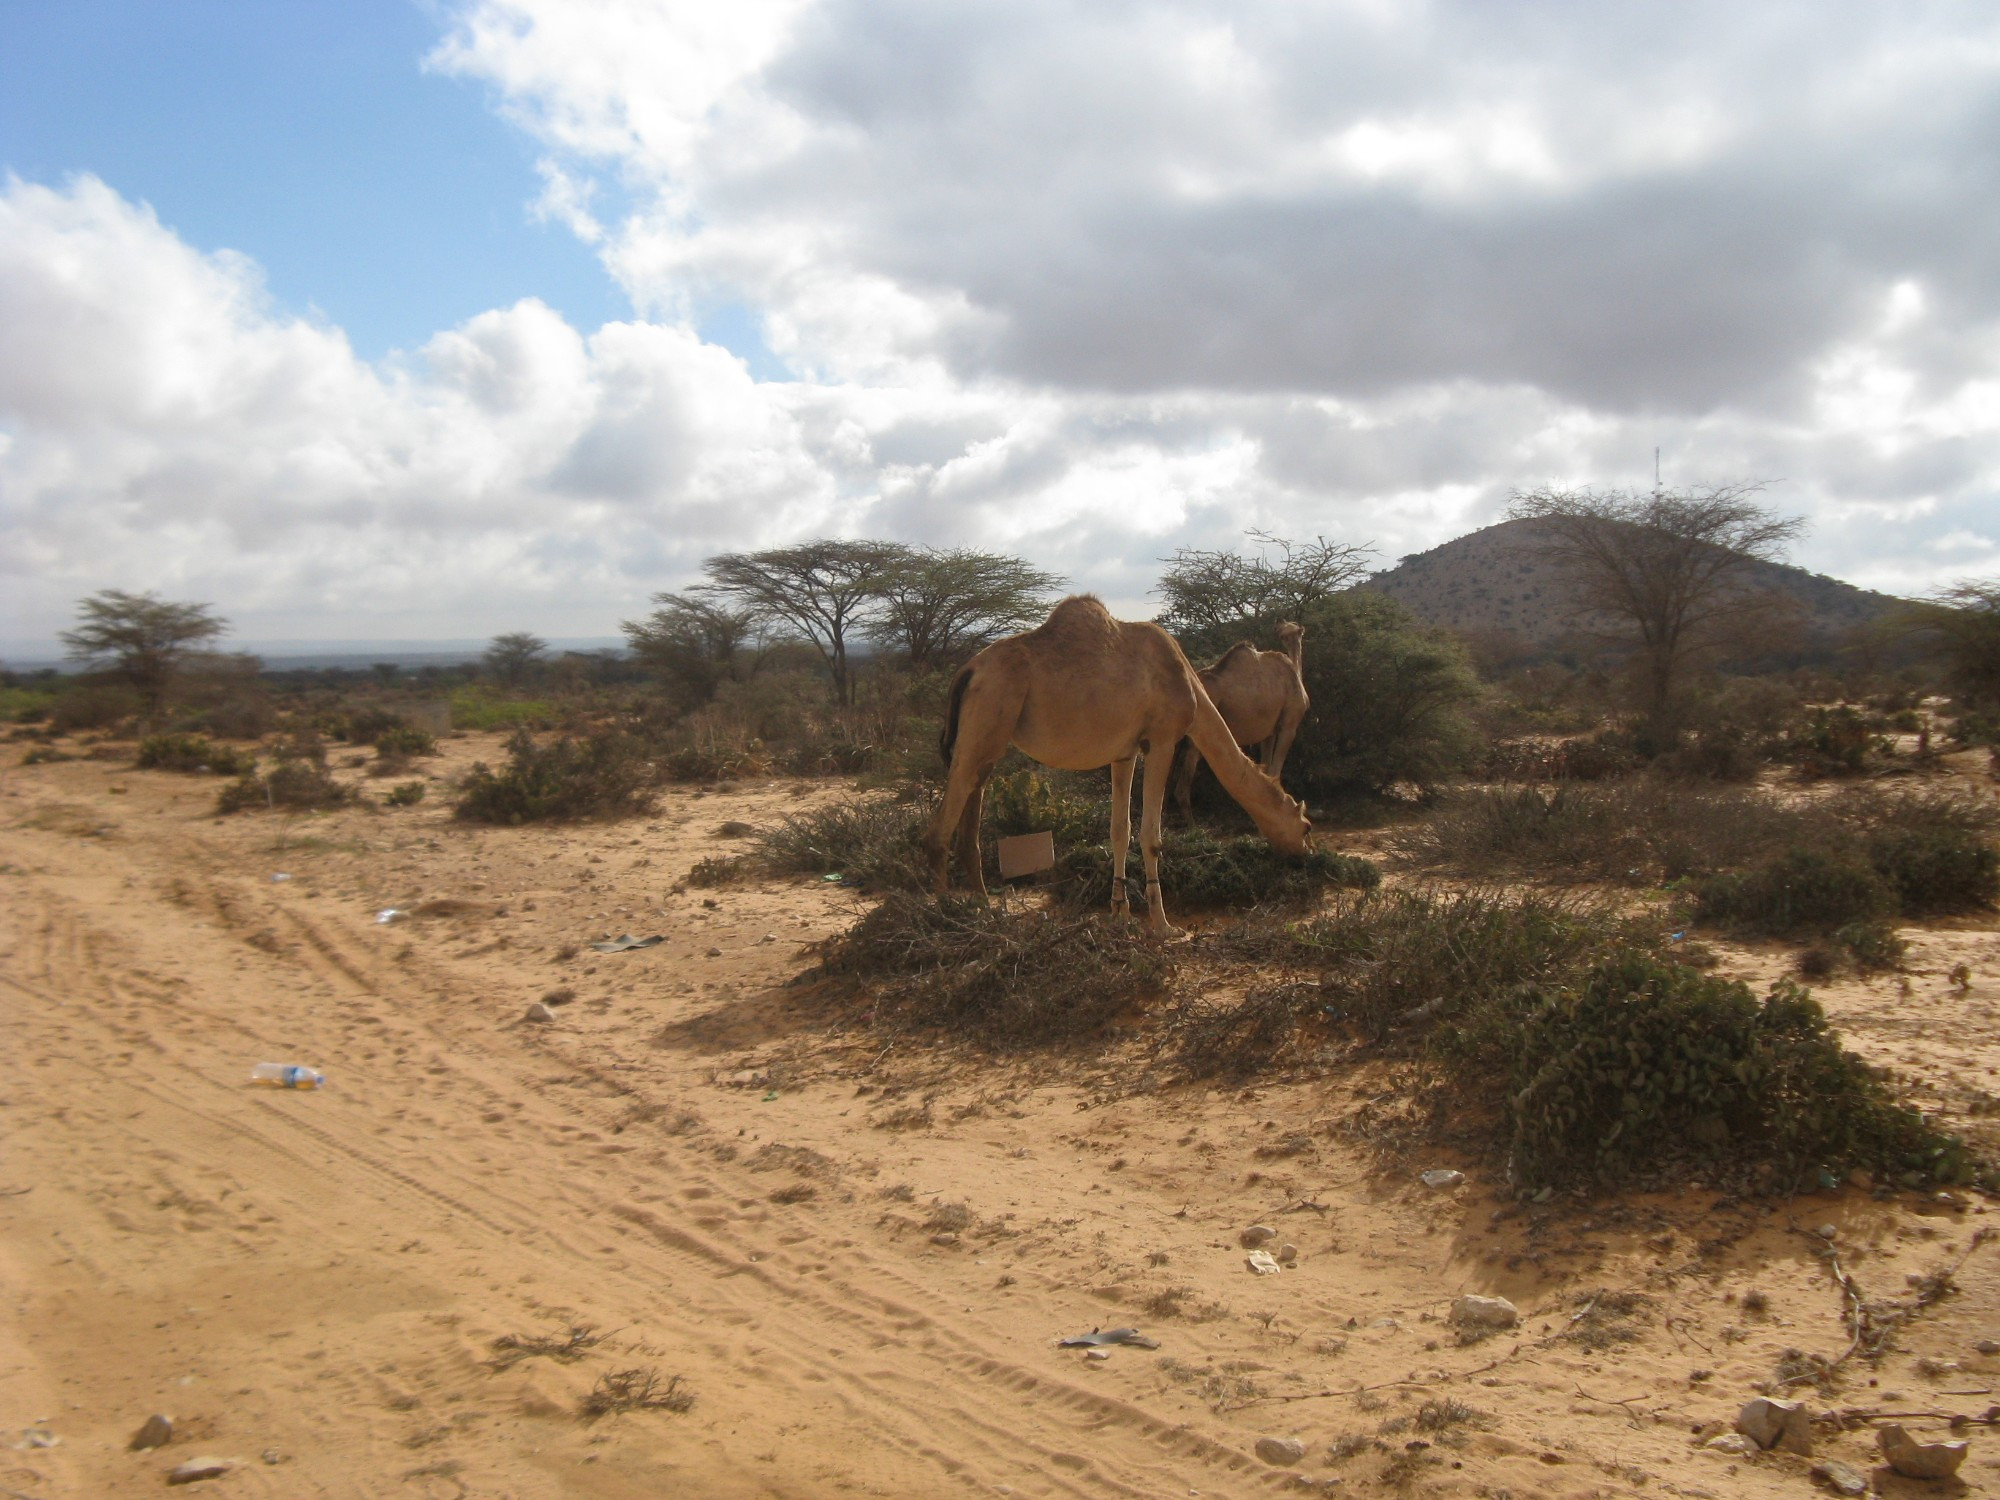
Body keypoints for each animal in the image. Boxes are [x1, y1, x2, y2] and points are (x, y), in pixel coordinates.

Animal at [1168, 628, 1312, 828]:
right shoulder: (1289, 725)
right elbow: (1275, 770)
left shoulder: (1268, 732)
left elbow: (1267, 769)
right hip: (1198, 733)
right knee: (1181, 785)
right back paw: (1193, 826)